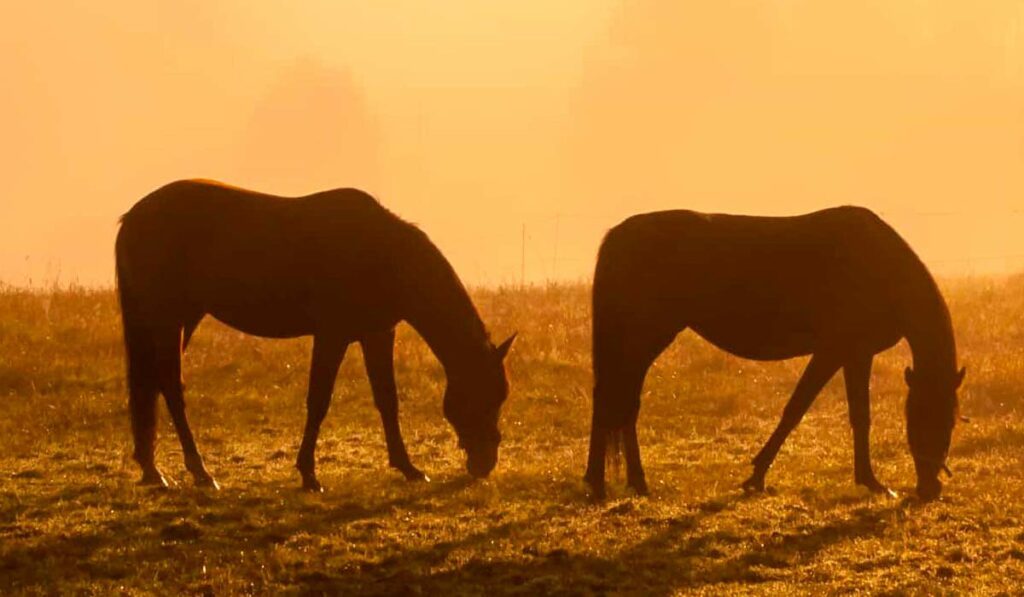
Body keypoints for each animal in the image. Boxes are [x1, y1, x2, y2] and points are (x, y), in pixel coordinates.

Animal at [117, 180, 516, 493]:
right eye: (482, 396)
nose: (485, 463)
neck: (383, 254)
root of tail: (132, 217)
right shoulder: (332, 335)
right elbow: (319, 401)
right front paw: (309, 475)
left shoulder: (377, 334)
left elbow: (387, 400)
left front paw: (408, 467)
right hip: (169, 320)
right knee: (171, 386)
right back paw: (200, 472)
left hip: (182, 319)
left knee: (154, 384)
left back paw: (153, 470)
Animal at [589, 207, 962, 501]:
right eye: (924, 417)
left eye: (950, 420)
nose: (929, 489)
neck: (881, 268)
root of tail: (618, 235)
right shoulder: (834, 351)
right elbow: (798, 410)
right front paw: (757, 476)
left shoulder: (856, 354)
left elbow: (857, 416)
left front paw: (868, 481)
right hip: (643, 338)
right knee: (618, 401)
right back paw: (613, 483)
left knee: (620, 402)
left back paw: (619, 483)